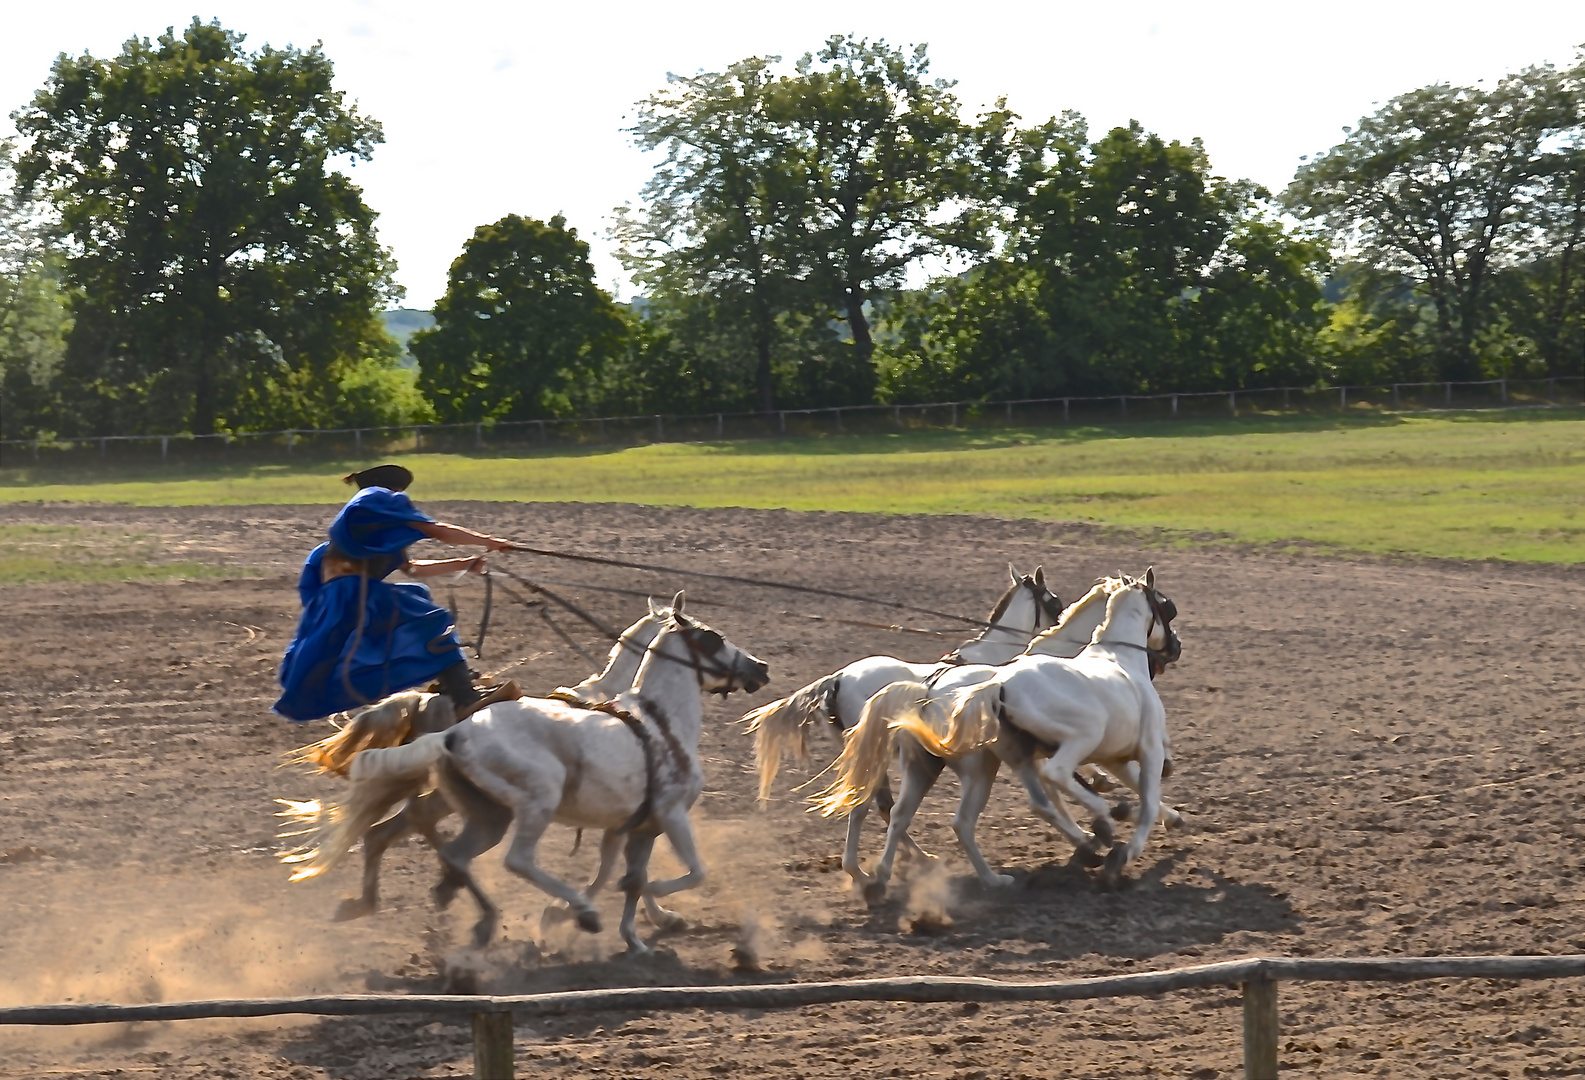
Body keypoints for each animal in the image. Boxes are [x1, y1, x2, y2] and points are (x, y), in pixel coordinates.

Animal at [283, 599, 767, 951]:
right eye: (714, 639)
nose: (759, 667)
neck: (659, 722)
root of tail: (452, 729)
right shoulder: (670, 815)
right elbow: (684, 872)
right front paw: (617, 913)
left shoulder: (631, 826)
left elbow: (623, 876)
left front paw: (636, 932)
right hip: (534, 802)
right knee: (512, 858)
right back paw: (569, 913)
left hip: (486, 813)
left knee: (417, 840)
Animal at [817, 574, 1179, 894]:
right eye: (1054, 602)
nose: (1175, 647)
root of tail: (837, 681)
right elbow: (1087, 790)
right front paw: (1114, 822)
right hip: (959, 765)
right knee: (897, 811)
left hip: (913, 763)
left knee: (883, 810)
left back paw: (877, 872)